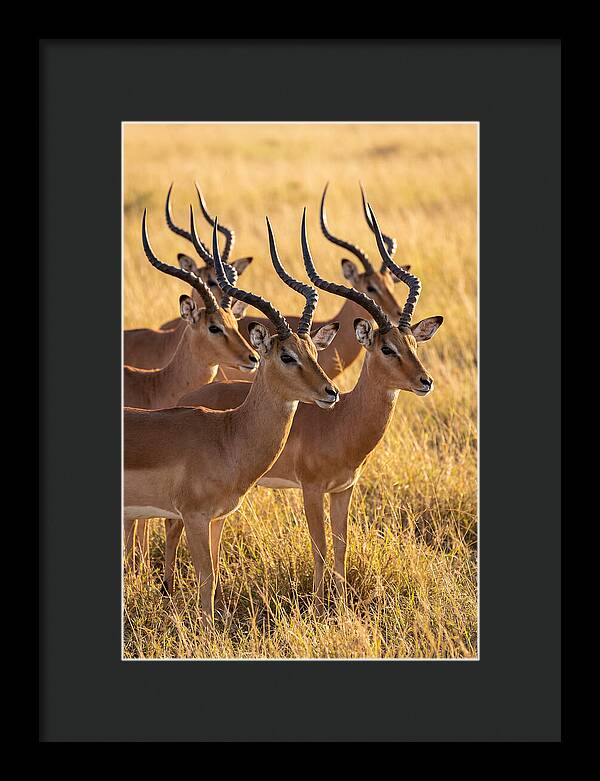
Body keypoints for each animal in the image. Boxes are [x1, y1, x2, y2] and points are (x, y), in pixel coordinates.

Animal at [172, 204, 443, 613]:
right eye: (386, 348)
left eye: (413, 343)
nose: (425, 381)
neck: (343, 420)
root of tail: (186, 400)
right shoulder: (311, 489)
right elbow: (320, 548)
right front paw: (317, 607)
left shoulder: (344, 489)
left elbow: (342, 548)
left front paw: (341, 605)